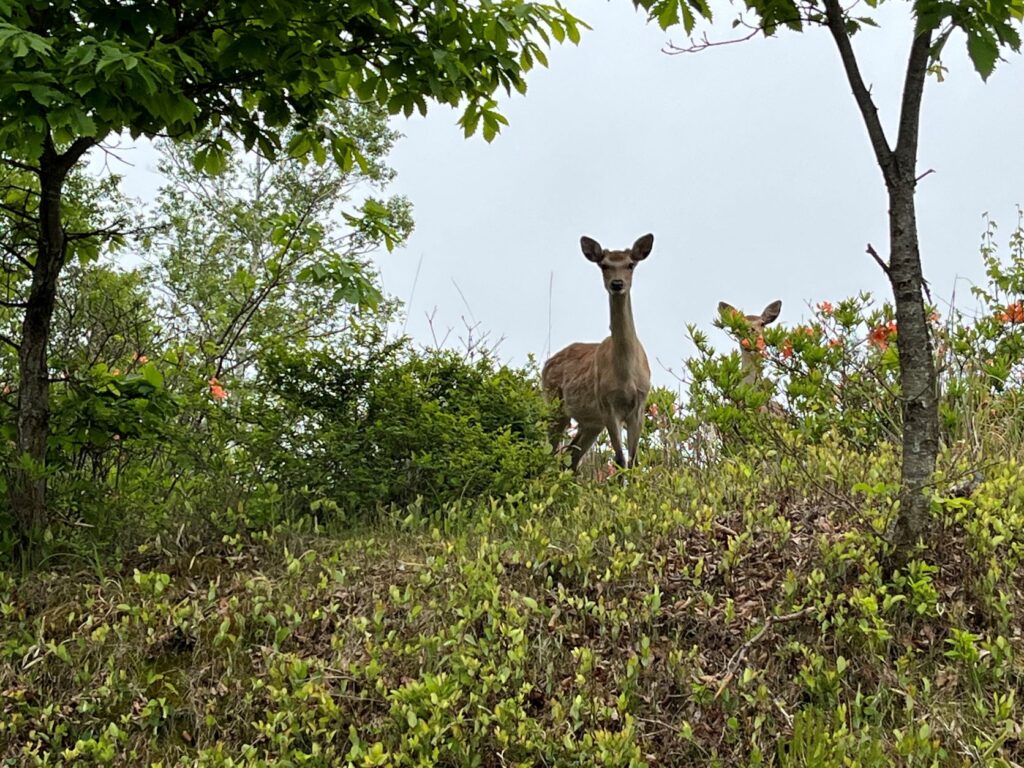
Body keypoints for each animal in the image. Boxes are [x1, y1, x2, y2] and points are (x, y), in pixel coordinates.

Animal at [540, 233, 651, 475]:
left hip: (591, 422)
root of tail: (545, 365)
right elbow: (620, 459)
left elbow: (633, 462)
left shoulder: (639, 405)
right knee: (551, 451)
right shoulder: (607, 404)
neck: (625, 375)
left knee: (571, 457)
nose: (617, 284)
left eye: (631, 264)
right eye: (604, 265)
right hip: (554, 402)